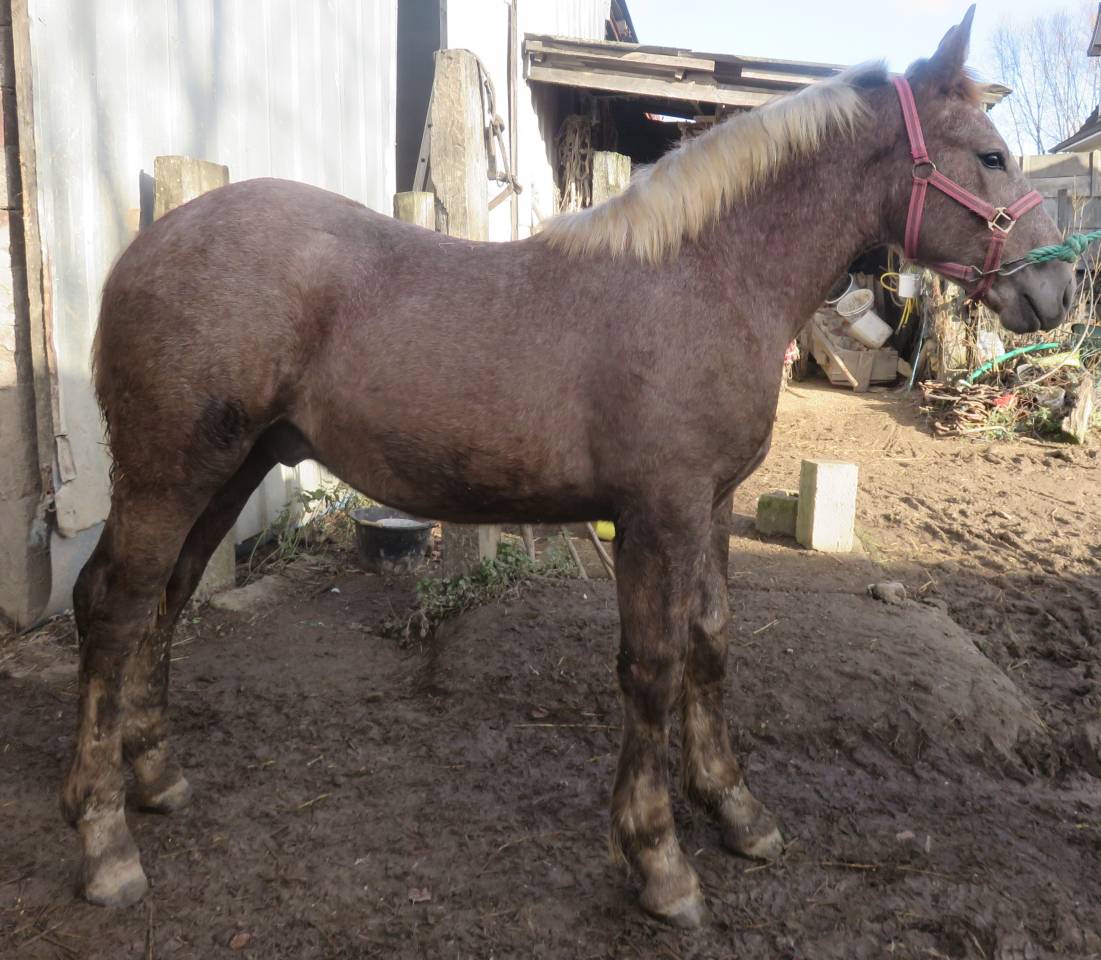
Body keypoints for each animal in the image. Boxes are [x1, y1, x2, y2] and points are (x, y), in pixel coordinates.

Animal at [65, 7, 1073, 927]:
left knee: (164, 598)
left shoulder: (711, 505)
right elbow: (653, 665)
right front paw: (659, 859)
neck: (705, 278)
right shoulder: (657, 513)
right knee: (116, 611)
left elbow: (710, 643)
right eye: (990, 156)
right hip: (168, 475)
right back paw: (105, 842)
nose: (1058, 288)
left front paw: (735, 808)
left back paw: (153, 777)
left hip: (231, 469)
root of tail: (144, 248)